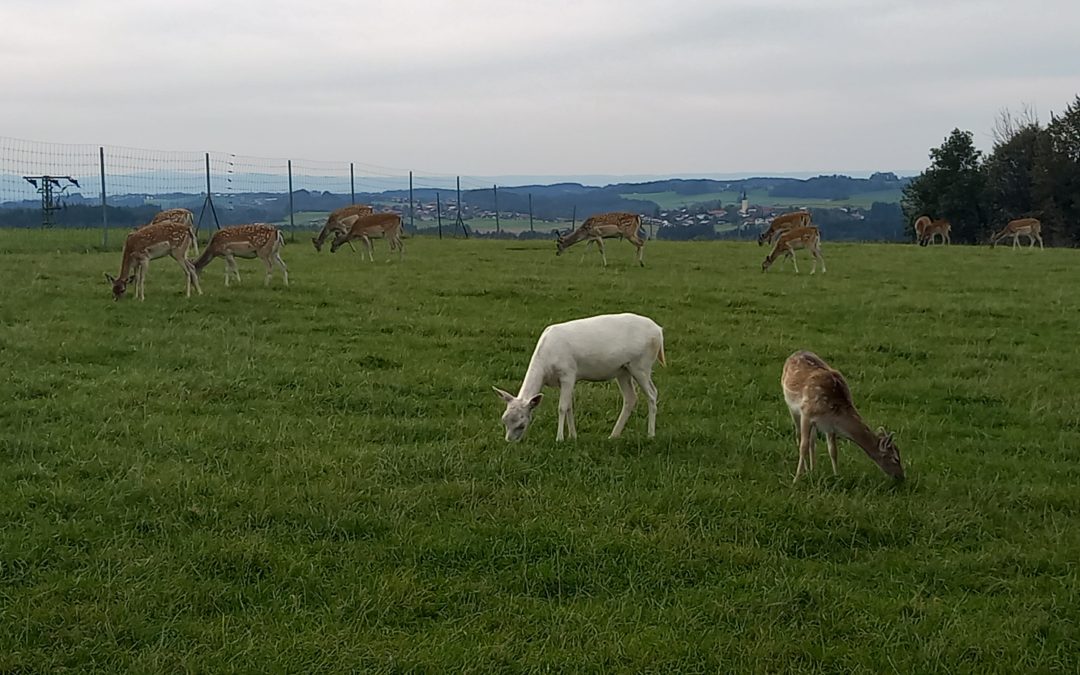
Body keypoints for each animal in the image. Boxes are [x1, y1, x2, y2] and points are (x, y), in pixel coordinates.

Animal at [494, 311, 660, 442]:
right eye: (504, 420)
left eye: (521, 424)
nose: (509, 441)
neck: (546, 367)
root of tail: (659, 331)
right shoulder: (569, 379)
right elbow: (569, 406)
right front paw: (573, 436)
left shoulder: (567, 373)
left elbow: (562, 407)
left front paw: (560, 438)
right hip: (623, 370)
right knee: (631, 398)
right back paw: (613, 435)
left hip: (641, 365)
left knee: (652, 393)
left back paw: (650, 435)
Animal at [781, 349, 907, 481]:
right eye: (895, 458)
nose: (901, 477)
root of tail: (796, 352)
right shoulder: (806, 413)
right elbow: (803, 446)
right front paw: (796, 479)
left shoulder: (829, 424)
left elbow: (833, 450)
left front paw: (837, 476)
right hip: (792, 407)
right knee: (799, 436)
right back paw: (806, 470)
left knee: (812, 441)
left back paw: (813, 469)